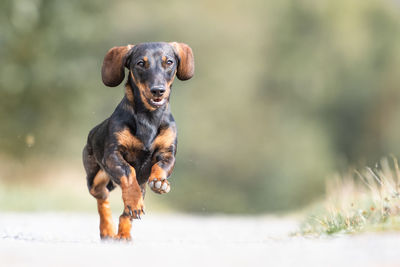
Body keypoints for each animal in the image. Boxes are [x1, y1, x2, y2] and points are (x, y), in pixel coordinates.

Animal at [82, 42, 194, 241]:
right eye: (141, 63)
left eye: (169, 62)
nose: (158, 90)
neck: (149, 117)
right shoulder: (113, 155)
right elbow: (128, 173)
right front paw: (133, 200)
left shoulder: (168, 153)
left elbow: (161, 167)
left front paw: (160, 182)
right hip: (95, 180)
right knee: (103, 200)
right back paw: (107, 229)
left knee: (125, 214)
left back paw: (123, 234)